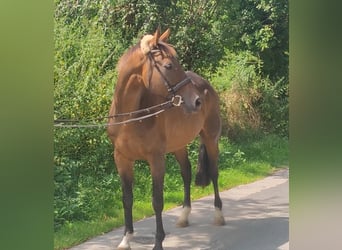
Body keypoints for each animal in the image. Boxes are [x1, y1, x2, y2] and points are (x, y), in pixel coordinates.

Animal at [107, 28, 224, 249]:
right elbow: (127, 198)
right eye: (169, 66)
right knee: (186, 172)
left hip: (211, 137)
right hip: (179, 145)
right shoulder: (121, 158)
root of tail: (205, 85)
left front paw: (158, 242)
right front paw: (126, 239)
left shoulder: (156, 159)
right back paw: (184, 216)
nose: (196, 101)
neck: (131, 117)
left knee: (214, 172)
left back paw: (219, 215)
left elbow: (157, 201)